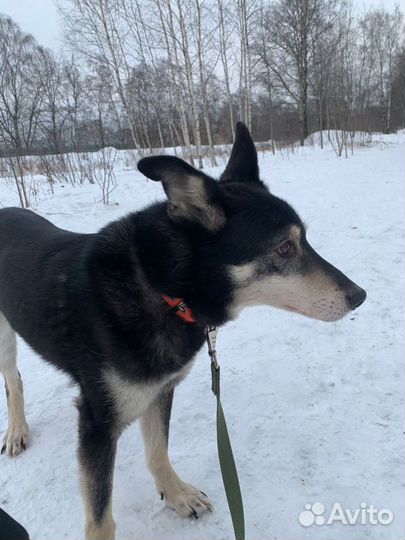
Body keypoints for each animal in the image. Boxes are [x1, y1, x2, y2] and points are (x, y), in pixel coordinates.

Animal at [0, 123, 366, 540]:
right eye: (285, 248)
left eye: (303, 239)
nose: (360, 296)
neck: (162, 287)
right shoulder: (97, 421)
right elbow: (101, 516)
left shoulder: (161, 389)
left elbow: (158, 449)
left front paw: (175, 494)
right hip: (3, 338)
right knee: (13, 380)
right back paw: (16, 431)